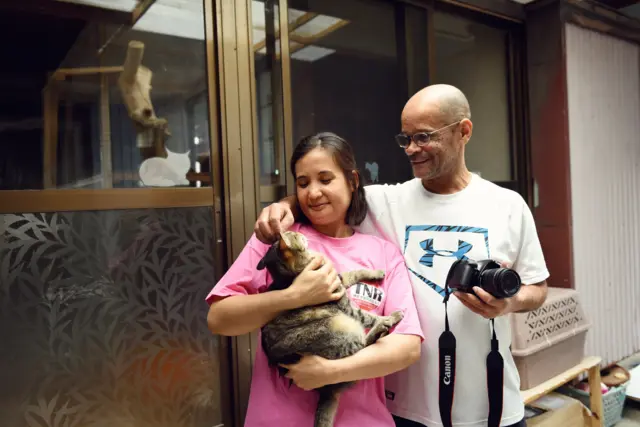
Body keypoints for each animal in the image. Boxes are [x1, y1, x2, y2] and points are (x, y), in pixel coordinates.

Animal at [256, 231, 402, 427]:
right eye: (293, 234)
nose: (300, 232)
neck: (291, 277)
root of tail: (326, 389)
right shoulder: (347, 307)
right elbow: (367, 316)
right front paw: (388, 317)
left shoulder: (337, 279)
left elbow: (355, 272)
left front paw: (375, 273)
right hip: (343, 328)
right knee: (362, 349)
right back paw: (384, 326)